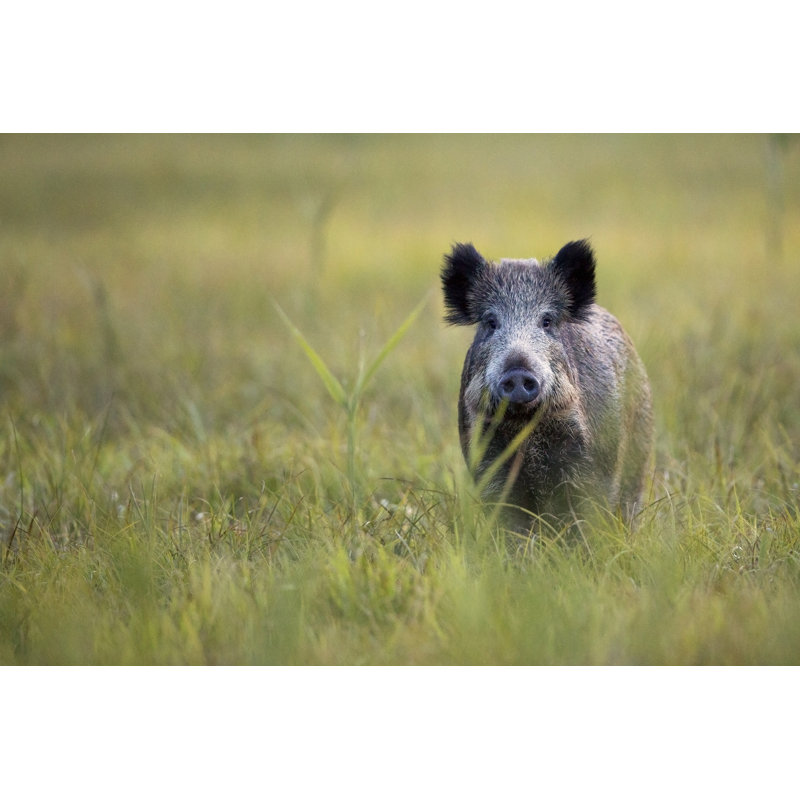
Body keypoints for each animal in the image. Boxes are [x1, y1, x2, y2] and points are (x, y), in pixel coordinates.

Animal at [441, 239, 653, 531]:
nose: (518, 371)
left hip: (639, 447)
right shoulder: (487, 458)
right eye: (491, 322)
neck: (527, 429)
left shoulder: (589, 460)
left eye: (547, 321)